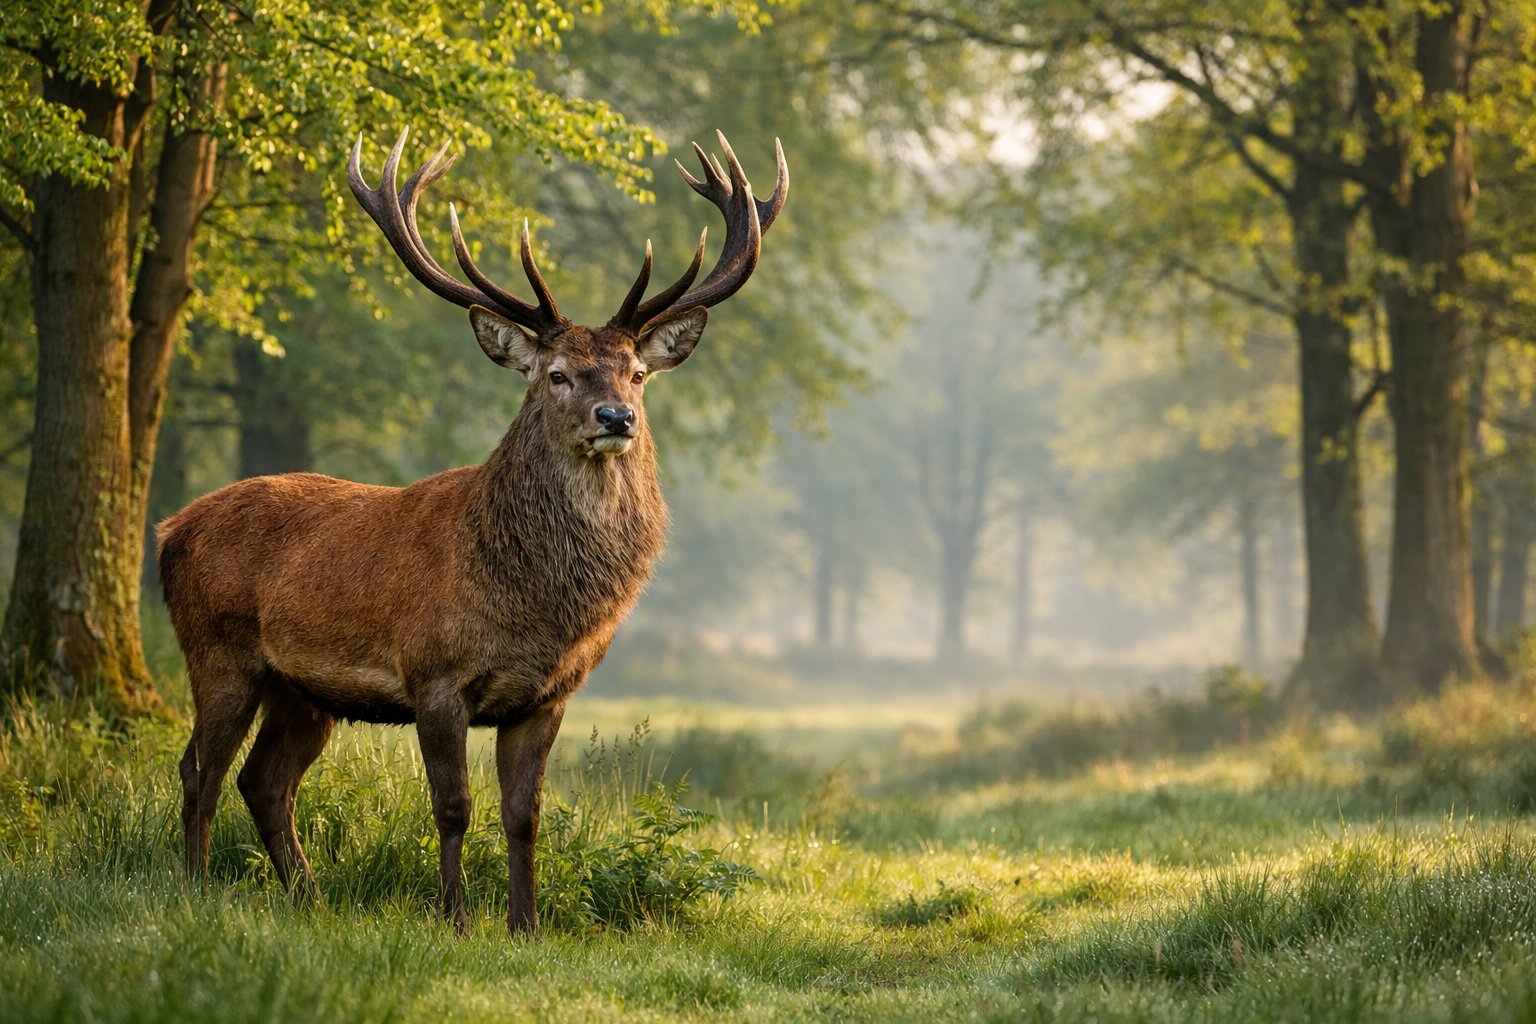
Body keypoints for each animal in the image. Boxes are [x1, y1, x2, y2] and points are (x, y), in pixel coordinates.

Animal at [157, 126, 786, 934]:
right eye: (556, 373)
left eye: (637, 373)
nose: (616, 417)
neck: (532, 606)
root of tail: (170, 528)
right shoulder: (434, 675)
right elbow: (453, 807)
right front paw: (453, 918)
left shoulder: (547, 696)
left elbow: (525, 815)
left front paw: (526, 924)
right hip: (219, 651)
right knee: (198, 769)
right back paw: (195, 887)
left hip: (302, 692)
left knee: (262, 781)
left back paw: (310, 897)